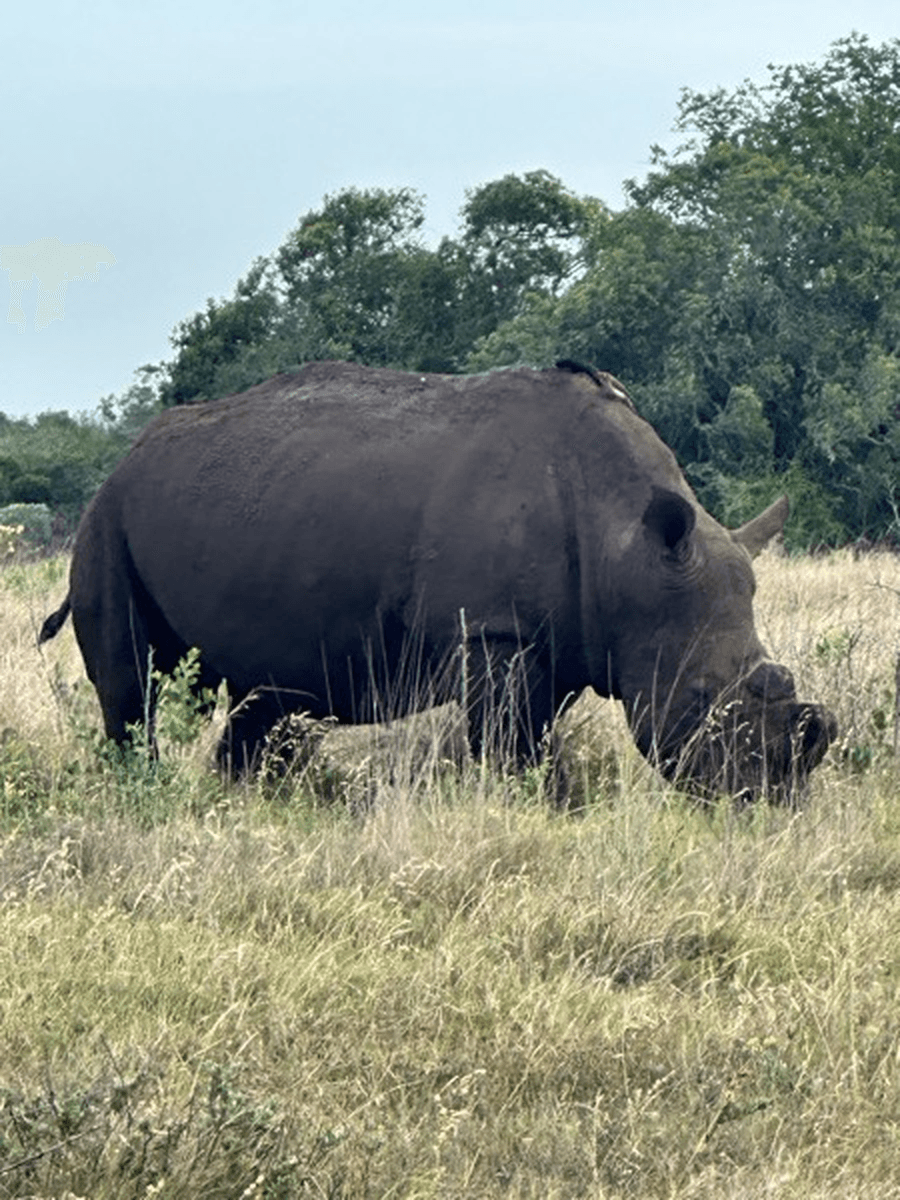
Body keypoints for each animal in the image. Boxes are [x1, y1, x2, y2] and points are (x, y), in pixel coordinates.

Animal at [40, 359, 836, 802]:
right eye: (699, 697)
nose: (766, 799)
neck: (628, 550)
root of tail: (128, 455)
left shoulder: (564, 641)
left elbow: (533, 740)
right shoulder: (493, 630)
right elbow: (516, 750)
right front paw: (533, 813)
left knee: (267, 700)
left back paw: (251, 807)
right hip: (106, 519)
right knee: (132, 686)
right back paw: (142, 795)